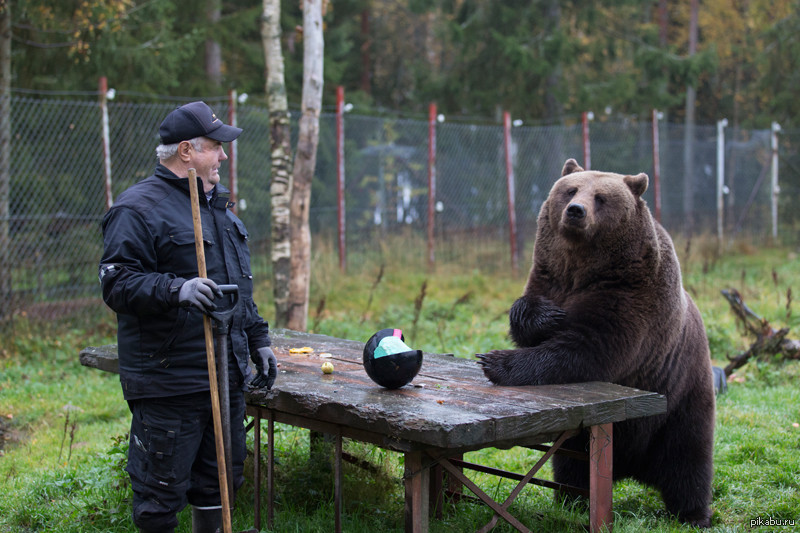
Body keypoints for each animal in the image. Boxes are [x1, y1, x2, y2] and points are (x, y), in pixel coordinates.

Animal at [478, 158, 716, 528]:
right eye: (571, 190)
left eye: (601, 197)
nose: (576, 211)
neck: (582, 269)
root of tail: (632, 469)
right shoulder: (548, 278)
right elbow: (527, 316)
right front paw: (549, 316)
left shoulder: (632, 296)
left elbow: (587, 350)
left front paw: (495, 361)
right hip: (582, 438)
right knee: (572, 464)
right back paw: (572, 499)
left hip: (682, 397)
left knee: (687, 460)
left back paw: (693, 514)